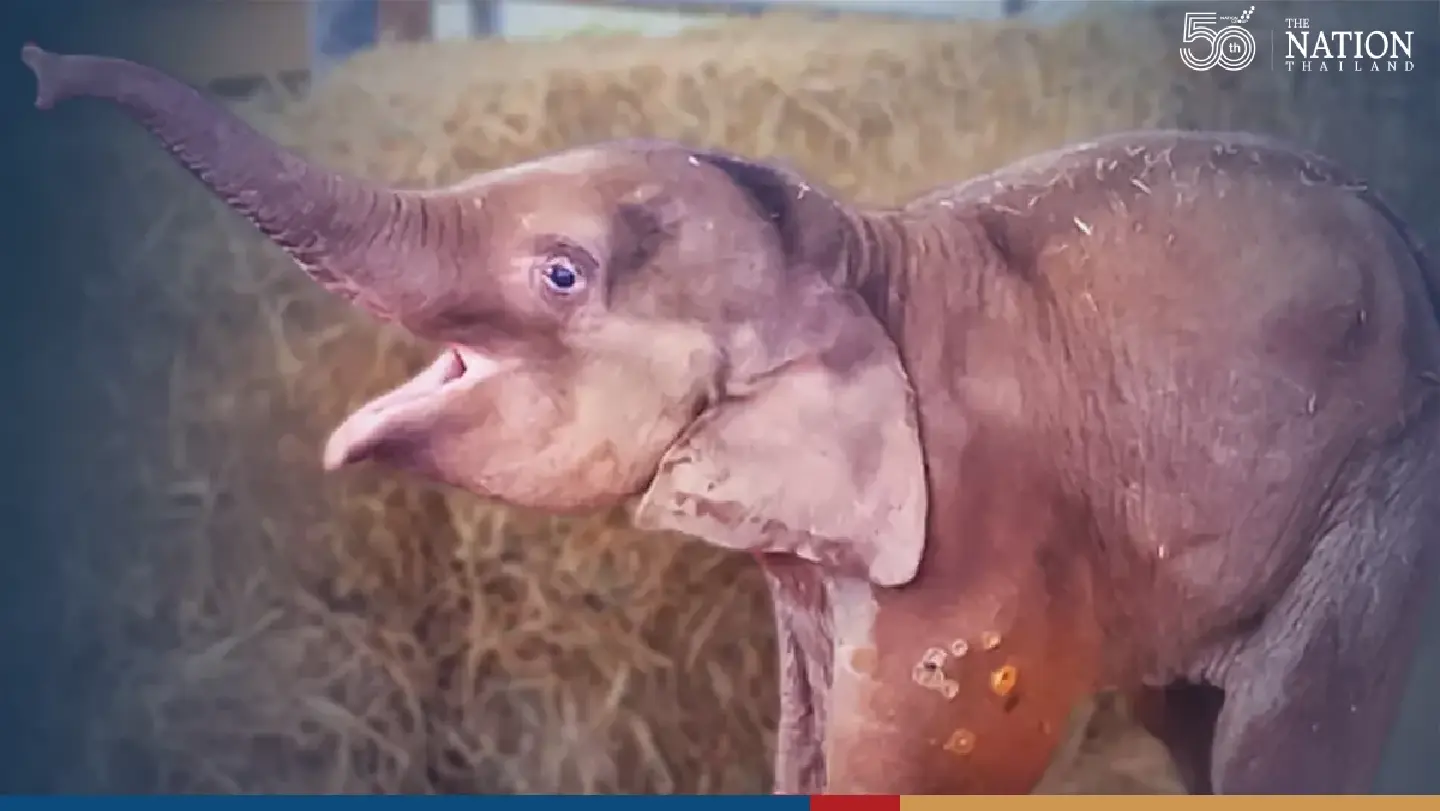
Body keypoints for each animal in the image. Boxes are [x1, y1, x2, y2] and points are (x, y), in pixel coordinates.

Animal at [22, 43, 1440, 795]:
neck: (860, 256)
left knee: (1281, 746)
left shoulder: (978, 531)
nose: (37, 76)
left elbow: (930, 756)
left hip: (1377, 505)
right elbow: (804, 741)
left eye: (561, 275)